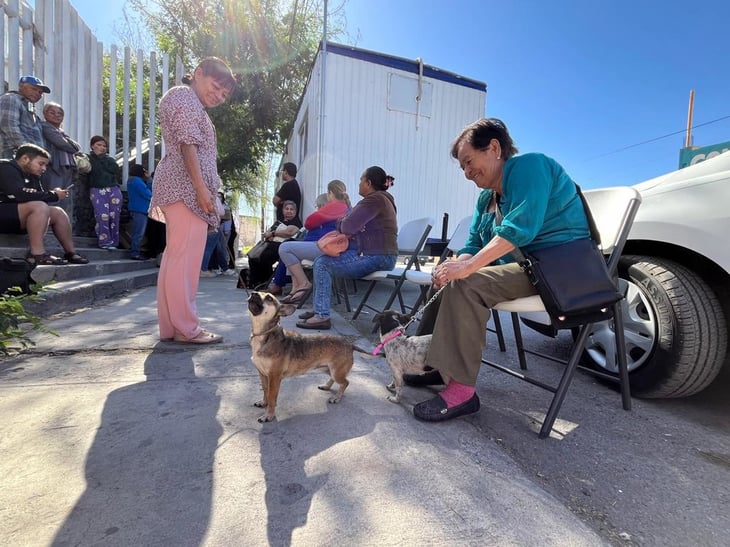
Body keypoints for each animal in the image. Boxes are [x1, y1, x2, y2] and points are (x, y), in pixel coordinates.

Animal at [247, 292, 356, 424]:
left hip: (336, 371)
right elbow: (265, 391)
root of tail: (350, 344)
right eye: (256, 291)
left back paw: (336, 398)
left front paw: (268, 415)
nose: (253, 293)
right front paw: (264, 402)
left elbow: (272, 397)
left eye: (269, 298)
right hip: (328, 369)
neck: (264, 335)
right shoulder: (263, 374)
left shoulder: (274, 377)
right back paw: (326, 386)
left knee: (345, 382)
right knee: (335, 379)